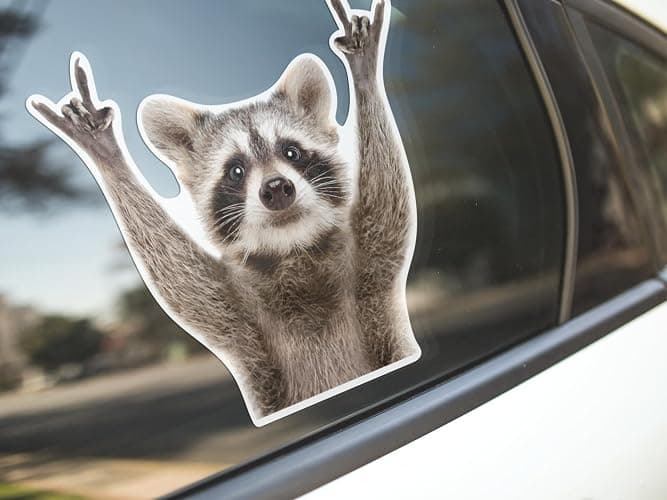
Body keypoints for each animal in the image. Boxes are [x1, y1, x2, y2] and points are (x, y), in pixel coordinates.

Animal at [27, 0, 420, 423]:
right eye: (236, 170)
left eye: (292, 152)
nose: (277, 189)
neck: (292, 248)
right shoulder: (241, 321)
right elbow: (182, 280)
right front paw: (106, 154)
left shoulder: (368, 284)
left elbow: (387, 212)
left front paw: (363, 75)